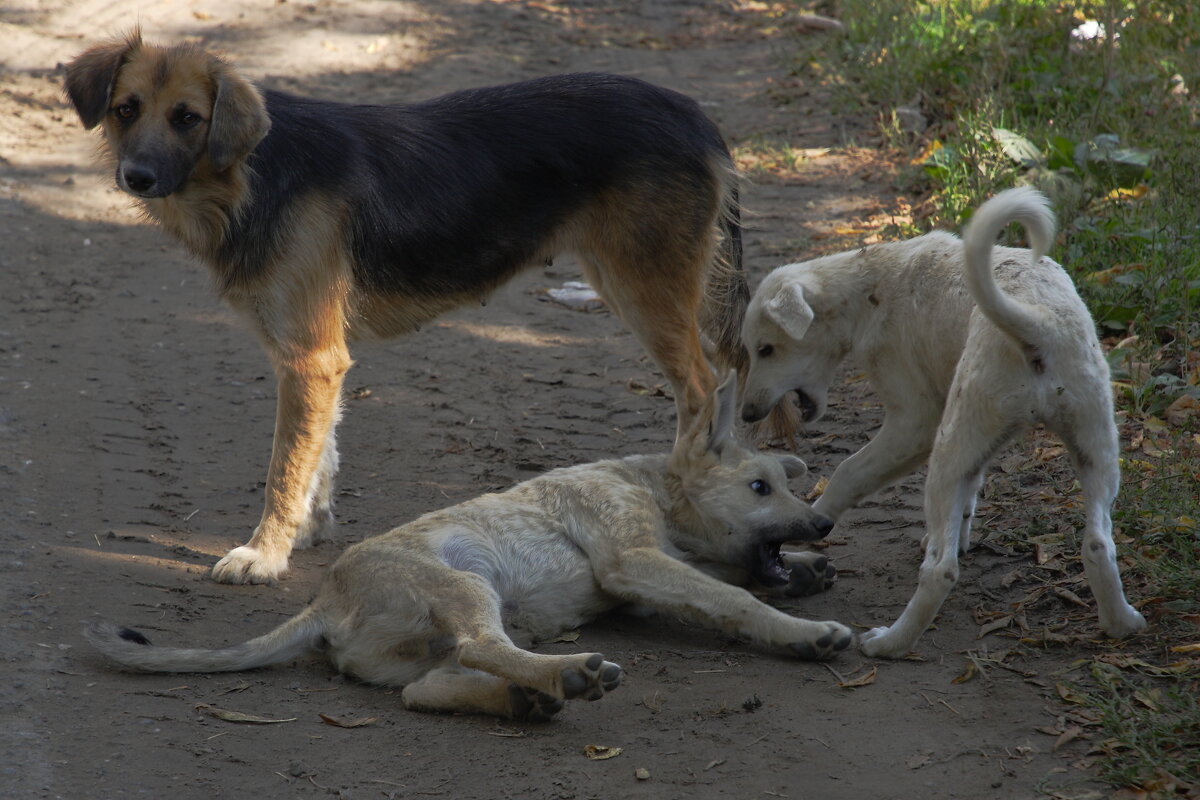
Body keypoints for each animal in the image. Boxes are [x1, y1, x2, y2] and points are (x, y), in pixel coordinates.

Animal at [65, 32, 748, 582]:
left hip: (644, 290)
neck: (252, 173)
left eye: (188, 118)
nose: (136, 176)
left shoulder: (310, 357)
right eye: (126, 109)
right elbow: (319, 453)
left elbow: (284, 469)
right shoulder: (314, 359)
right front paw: (308, 529)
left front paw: (264, 553)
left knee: (701, 386)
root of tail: (693, 113)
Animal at [87, 374, 854, 719]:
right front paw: (806, 631)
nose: (821, 526)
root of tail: (323, 603)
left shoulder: (652, 578)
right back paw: (564, 676)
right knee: (485, 648)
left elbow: (726, 585)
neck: (649, 485)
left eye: (785, 486)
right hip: (468, 586)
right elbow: (736, 600)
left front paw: (806, 572)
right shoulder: (635, 562)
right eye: (760, 487)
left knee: (425, 689)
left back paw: (529, 696)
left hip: (426, 647)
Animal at [739, 188, 1142, 657]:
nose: (747, 414)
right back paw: (1122, 623)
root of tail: (1036, 322)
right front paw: (958, 531)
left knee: (940, 572)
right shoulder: (976, 442)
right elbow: (971, 492)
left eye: (766, 349)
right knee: (1098, 544)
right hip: (1094, 448)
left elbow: (847, 474)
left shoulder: (915, 423)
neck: (870, 286)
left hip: (946, 454)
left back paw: (889, 642)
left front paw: (810, 521)